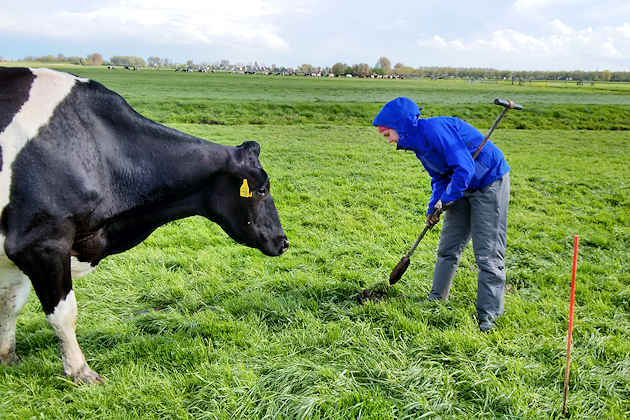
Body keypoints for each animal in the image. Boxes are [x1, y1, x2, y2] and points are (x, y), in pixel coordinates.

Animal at [0, 68, 290, 384]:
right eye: (261, 189)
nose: (284, 241)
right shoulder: (41, 243)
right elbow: (63, 314)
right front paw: (80, 372)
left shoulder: (17, 255)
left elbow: (10, 306)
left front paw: (7, 358)